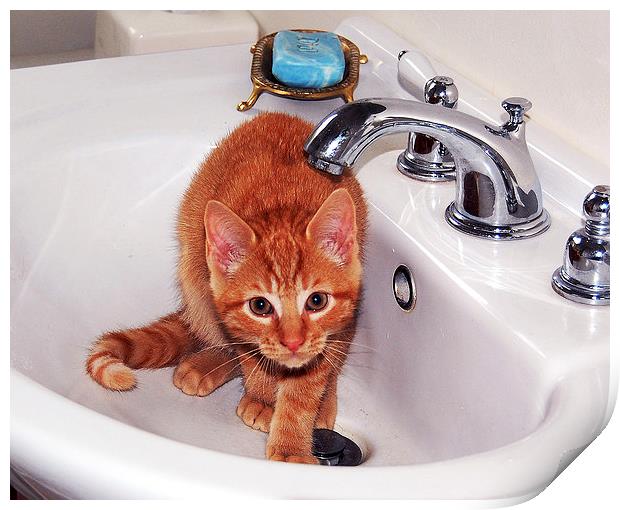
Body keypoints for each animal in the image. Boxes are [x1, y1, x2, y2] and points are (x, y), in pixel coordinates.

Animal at [88, 113, 368, 464]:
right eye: (260, 306)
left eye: (316, 301)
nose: (292, 342)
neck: (281, 204)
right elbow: (251, 355)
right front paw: (263, 397)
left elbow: (305, 386)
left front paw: (291, 445)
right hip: (194, 272)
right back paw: (208, 363)